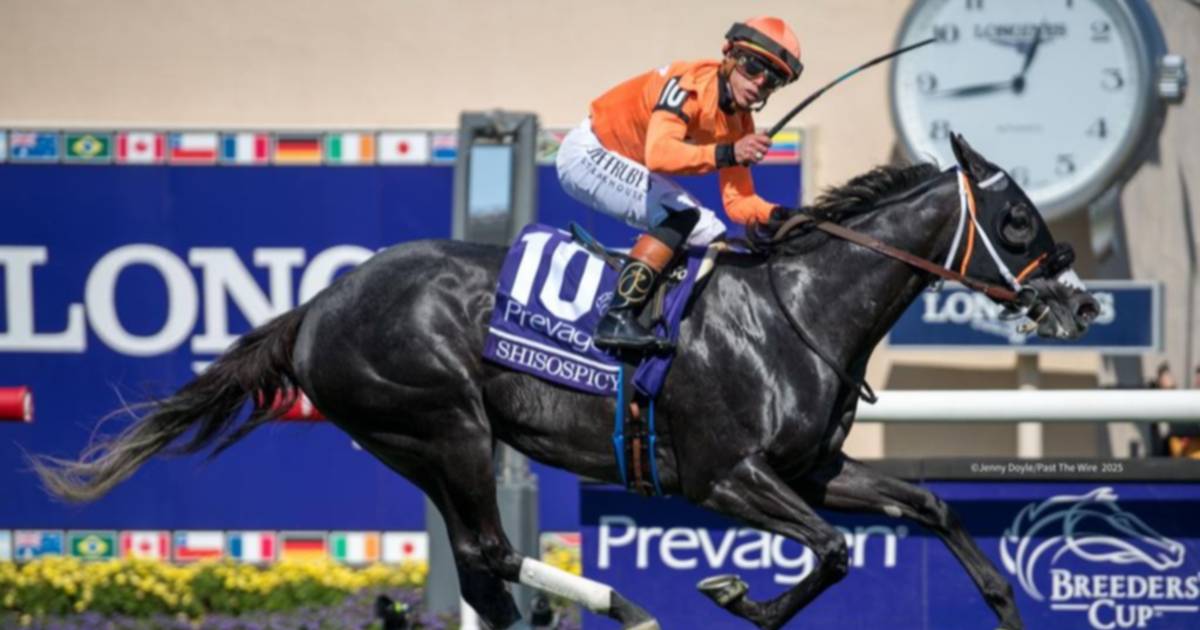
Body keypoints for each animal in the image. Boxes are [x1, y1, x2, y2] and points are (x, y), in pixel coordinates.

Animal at [33, 134, 1098, 630]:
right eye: (1016, 222)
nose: (1081, 303)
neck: (797, 310)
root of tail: (320, 303)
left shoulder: (809, 471)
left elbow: (927, 504)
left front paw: (1004, 601)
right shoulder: (725, 478)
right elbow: (833, 552)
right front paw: (735, 593)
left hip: (421, 444)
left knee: (482, 564)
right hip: (444, 422)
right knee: (492, 554)